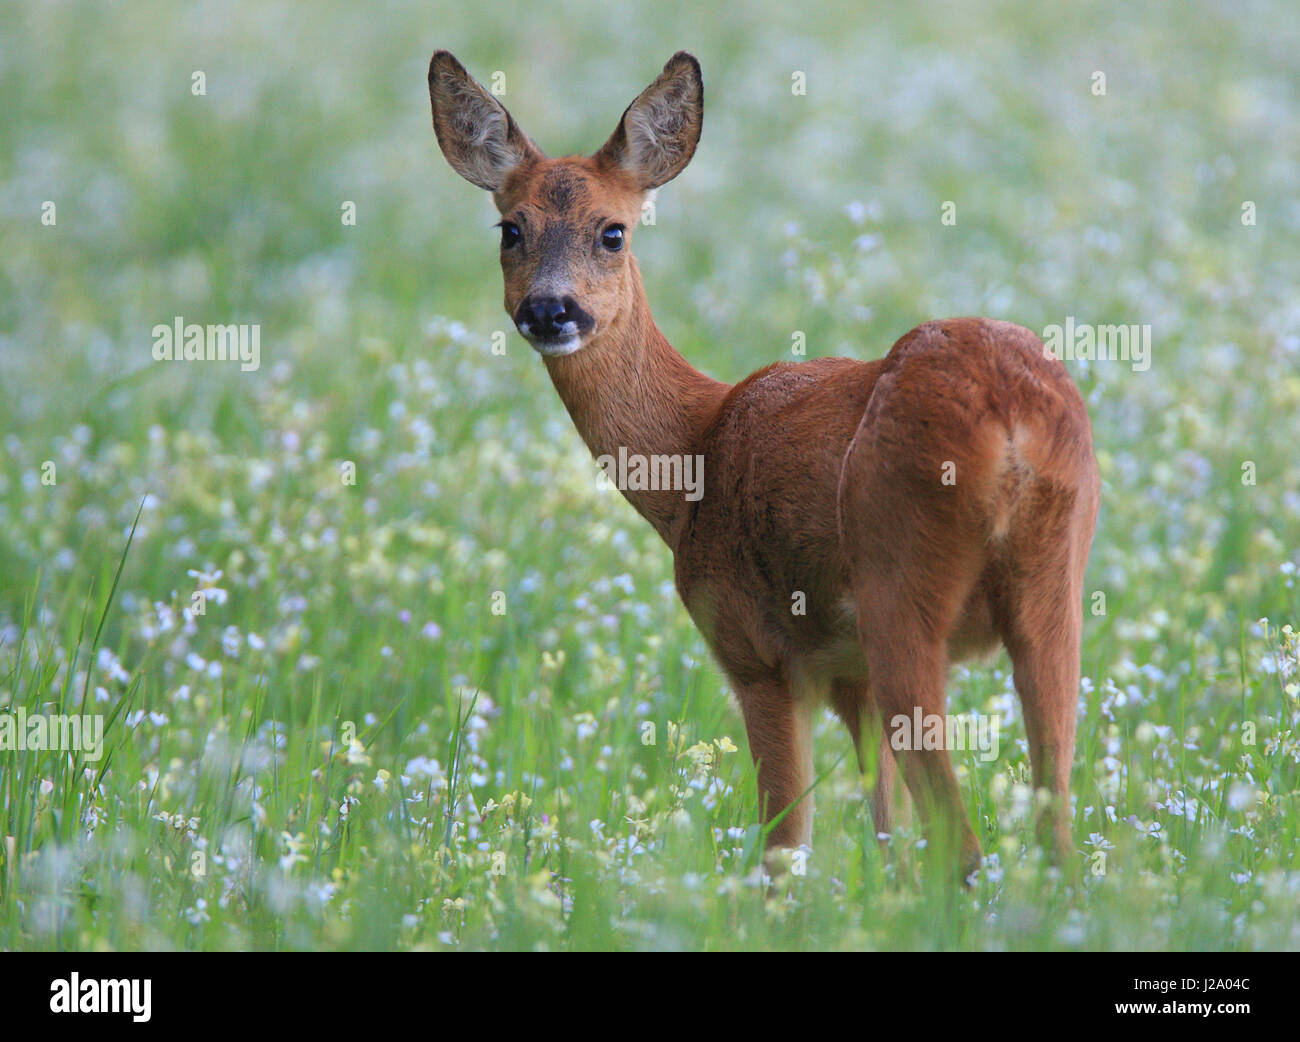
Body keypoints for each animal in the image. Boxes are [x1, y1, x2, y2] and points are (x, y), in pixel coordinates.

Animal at [423, 48, 1097, 878]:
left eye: (613, 232)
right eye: (509, 228)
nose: (550, 311)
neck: (692, 457)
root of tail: (1009, 419)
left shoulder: (756, 652)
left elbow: (784, 853)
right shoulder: (847, 677)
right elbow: (886, 839)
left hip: (901, 589)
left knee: (964, 845)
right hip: (1055, 583)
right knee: (1053, 830)